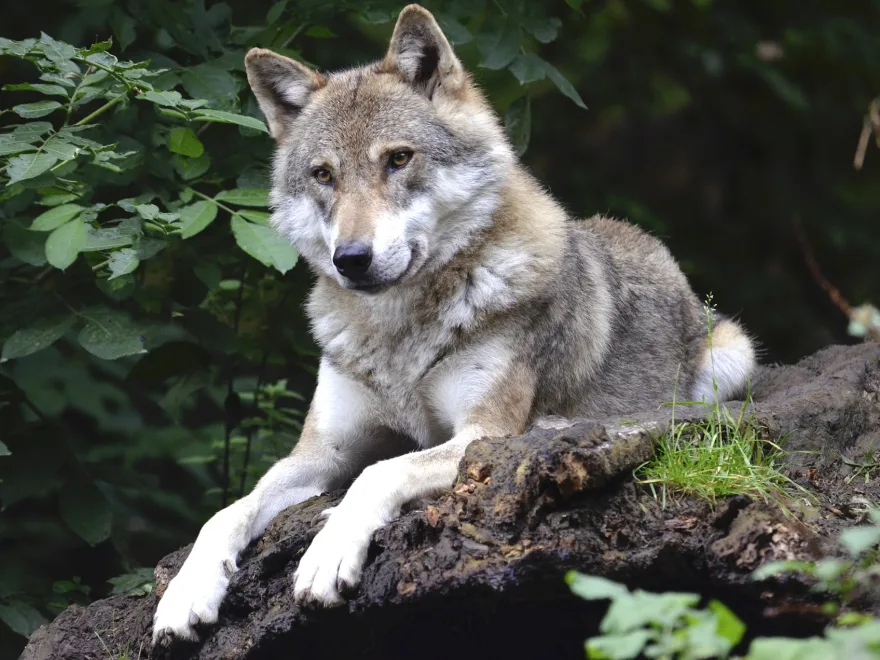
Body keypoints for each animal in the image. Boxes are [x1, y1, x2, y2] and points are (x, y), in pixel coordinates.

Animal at [152, 3, 756, 645]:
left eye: (398, 158)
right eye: (323, 175)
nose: (351, 259)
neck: (398, 336)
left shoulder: (478, 435)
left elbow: (379, 473)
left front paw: (327, 553)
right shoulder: (320, 452)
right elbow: (227, 511)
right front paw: (186, 592)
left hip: (730, 357)